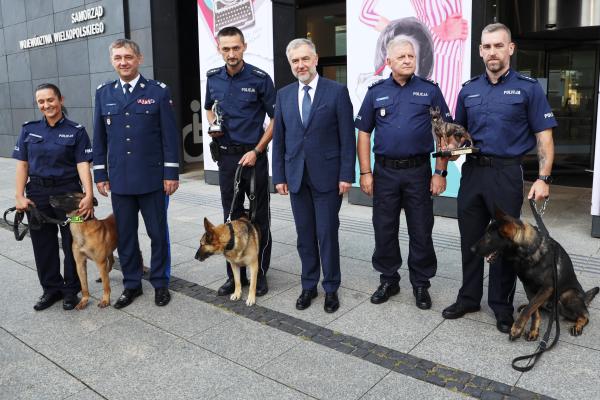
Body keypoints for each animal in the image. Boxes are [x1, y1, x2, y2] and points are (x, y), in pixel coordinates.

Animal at [472, 208, 596, 342]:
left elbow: (529, 309)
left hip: (567, 295)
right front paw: (533, 330)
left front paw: (517, 328)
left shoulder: (547, 288)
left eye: (489, 237)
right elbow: (533, 310)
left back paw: (578, 325)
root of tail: (584, 297)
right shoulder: (528, 287)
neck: (528, 252)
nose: (471, 249)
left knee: (585, 315)